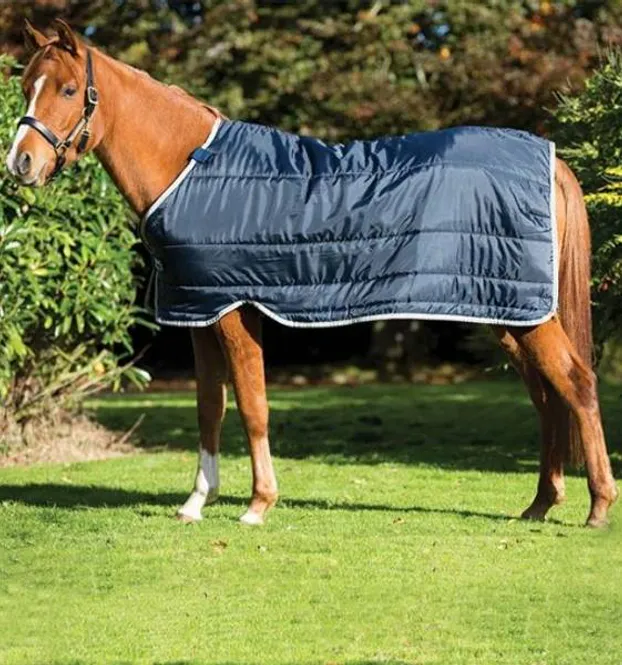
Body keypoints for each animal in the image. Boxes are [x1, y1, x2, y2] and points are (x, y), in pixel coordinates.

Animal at [5, 19, 618, 528]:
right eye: (27, 85)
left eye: (67, 90)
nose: (21, 163)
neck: (191, 168)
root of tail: (550, 161)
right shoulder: (199, 311)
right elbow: (209, 409)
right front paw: (196, 502)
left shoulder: (234, 310)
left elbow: (252, 405)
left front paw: (258, 505)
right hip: (506, 312)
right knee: (547, 396)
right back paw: (540, 504)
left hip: (526, 315)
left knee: (578, 385)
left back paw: (596, 508)